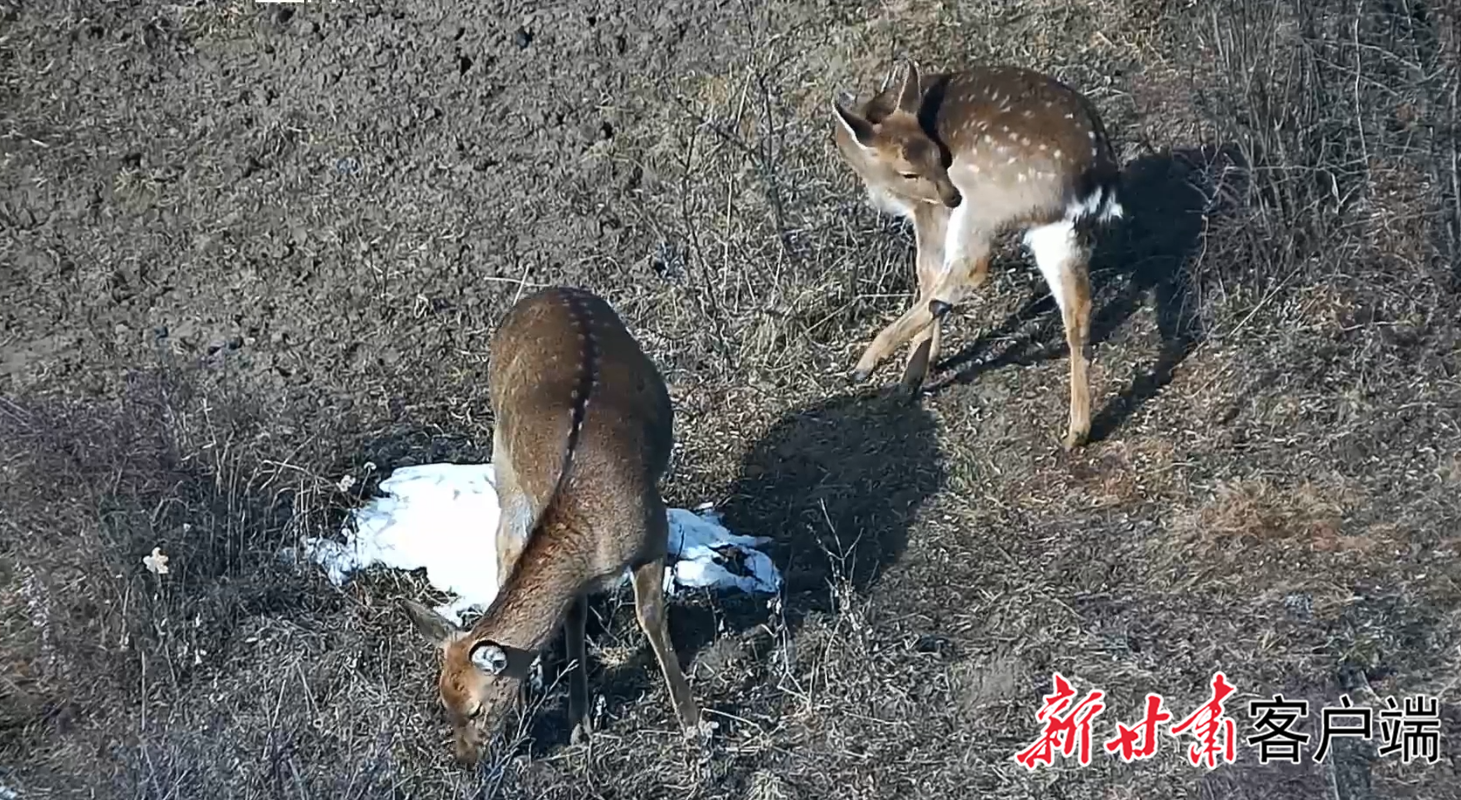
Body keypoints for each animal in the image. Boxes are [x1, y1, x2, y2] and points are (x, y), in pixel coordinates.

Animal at [402, 285, 701, 766]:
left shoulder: (655, 529)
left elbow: (651, 616)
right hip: (506, 470)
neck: (590, 532)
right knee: (503, 546)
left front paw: (693, 724)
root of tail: (552, 291)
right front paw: (580, 724)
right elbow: (573, 622)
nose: (464, 760)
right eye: (444, 705)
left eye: (475, 708)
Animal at [831, 61, 1125, 450]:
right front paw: (927, 361)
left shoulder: (929, 211)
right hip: (1056, 232)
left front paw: (915, 372)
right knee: (1077, 307)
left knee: (971, 268)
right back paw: (1077, 431)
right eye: (910, 170)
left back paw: (866, 364)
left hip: (982, 194)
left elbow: (926, 273)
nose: (950, 195)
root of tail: (1096, 178)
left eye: (941, 155)